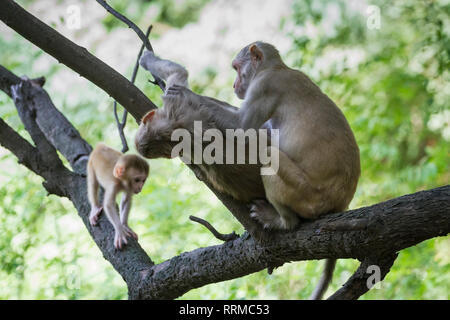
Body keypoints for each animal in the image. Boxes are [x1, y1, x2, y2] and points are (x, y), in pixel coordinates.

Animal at [135, 43, 360, 300]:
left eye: (236, 68)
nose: (235, 84)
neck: (277, 68)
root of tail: (339, 202)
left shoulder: (263, 85)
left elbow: (239, 123)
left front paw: (167, 77)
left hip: (309, 195)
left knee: (269, 156)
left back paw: (283, 221)